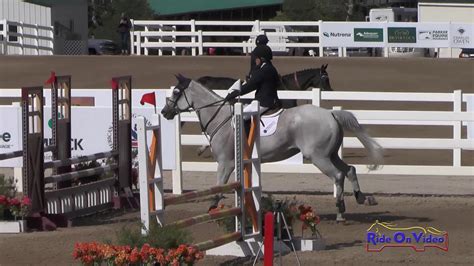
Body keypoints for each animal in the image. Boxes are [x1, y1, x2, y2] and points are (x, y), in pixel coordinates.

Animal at [161, 74, 384, 220]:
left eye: (176, 92)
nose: (164, 112)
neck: (221, 118)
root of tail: (330, 113)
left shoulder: (225, 163)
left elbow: (218, 187)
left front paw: (212, 209)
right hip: (331, 154)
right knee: (350, 170)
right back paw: (361, 198)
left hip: (319, 157)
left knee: (338, 176)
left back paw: (340, 209)